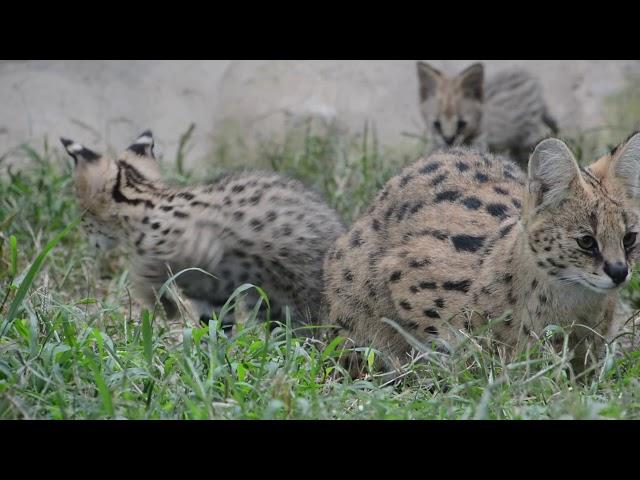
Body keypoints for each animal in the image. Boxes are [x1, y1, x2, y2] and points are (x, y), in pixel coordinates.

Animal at [61, 129, 344, 336]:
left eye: (83, 216)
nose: (91, 242)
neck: (145, 201)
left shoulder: (203, 250)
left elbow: (144, 273)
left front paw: (164, 306)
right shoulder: (213, 292)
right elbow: (216, 325)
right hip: (266, 301)